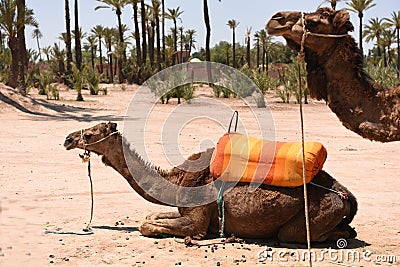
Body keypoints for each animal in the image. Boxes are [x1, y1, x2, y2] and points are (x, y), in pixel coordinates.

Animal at [64, 122, 358, 244]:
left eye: (89, 134)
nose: (68, 139)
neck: (178, 178)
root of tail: (345, 196)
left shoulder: (196, 217)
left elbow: (147, 225)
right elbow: (150, 215)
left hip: (310, 217)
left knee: (295, 234)